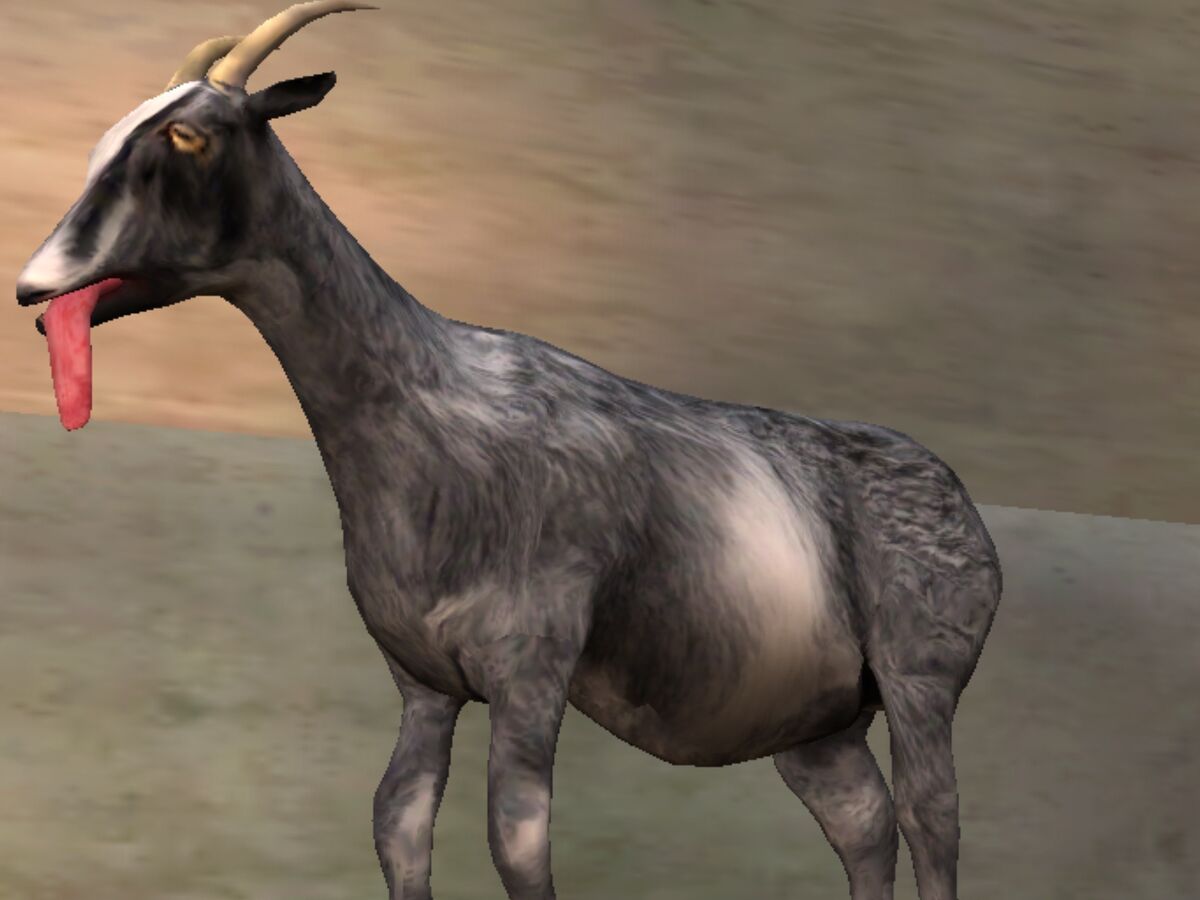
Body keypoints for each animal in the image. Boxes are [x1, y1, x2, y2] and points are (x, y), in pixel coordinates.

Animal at [15, 3, 1002, 899]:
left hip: (919, 679)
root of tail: (958, 499)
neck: (431, 410)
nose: (34, 285)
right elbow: (398, 820)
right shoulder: (423, 679)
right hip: (818, 726)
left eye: (188, 134)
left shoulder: (532, 664)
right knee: (864, 825)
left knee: (932, 821)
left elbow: (516, 835)